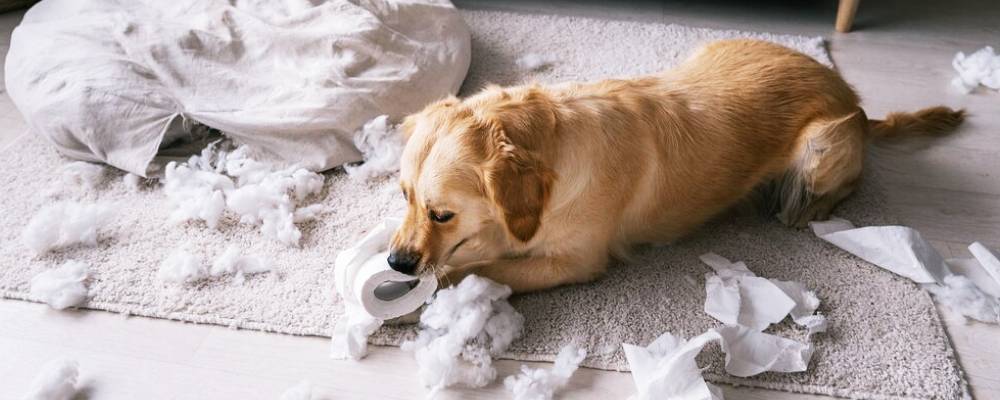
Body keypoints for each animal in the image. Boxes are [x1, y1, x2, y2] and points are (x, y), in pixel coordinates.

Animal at [384, 39, 960, 292]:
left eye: (442, 214)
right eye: (404, 197)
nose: (396, 263)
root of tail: (850, 95)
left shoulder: (576, 262)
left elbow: (486, 266)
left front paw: (444, 281)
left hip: (823, 146)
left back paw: (801, 207)